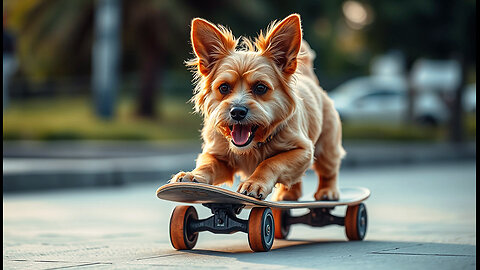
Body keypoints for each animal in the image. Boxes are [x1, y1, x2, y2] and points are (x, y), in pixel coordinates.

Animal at [170, 13, 344, 201]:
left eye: (260, 88)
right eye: (223, 88)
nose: (237, 112)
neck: (252, 146)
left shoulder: (303, 150)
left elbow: (271, 162)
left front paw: (254, 183)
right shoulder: (216, 154)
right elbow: (207, 164)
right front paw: (194, 176)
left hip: (327, 149)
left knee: (328, 171)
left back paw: (327, 191)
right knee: (295, 180)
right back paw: (288, 194)